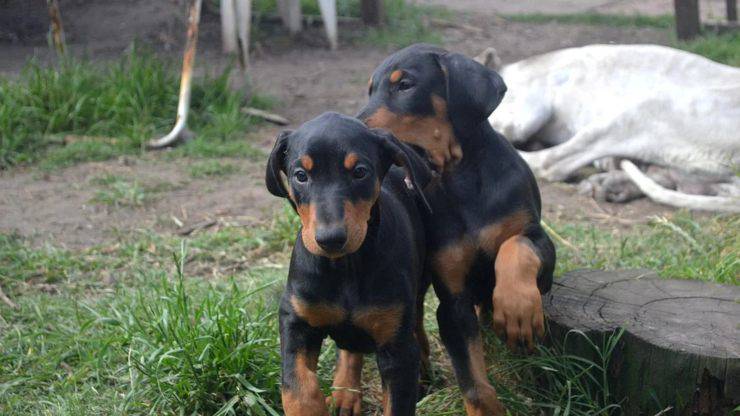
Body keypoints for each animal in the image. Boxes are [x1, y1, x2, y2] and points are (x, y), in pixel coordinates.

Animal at [264, 111, 434, 416]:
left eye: (360, 172)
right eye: (300, 175)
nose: (330, 239)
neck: (345, 266)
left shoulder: (397, 349)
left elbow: (397, 401)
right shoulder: (295, 318)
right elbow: (297, 385)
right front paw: (313, 407)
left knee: (417, 323)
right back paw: (345, 393)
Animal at [330, 44, 556, 414]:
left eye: (405, 85)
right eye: (370, 89)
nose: (347, 137)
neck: (462, 181)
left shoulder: (539, 241)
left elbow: (516, 247)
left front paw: (517, 308)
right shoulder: (453, 300)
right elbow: (473, 383)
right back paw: (346, 392)